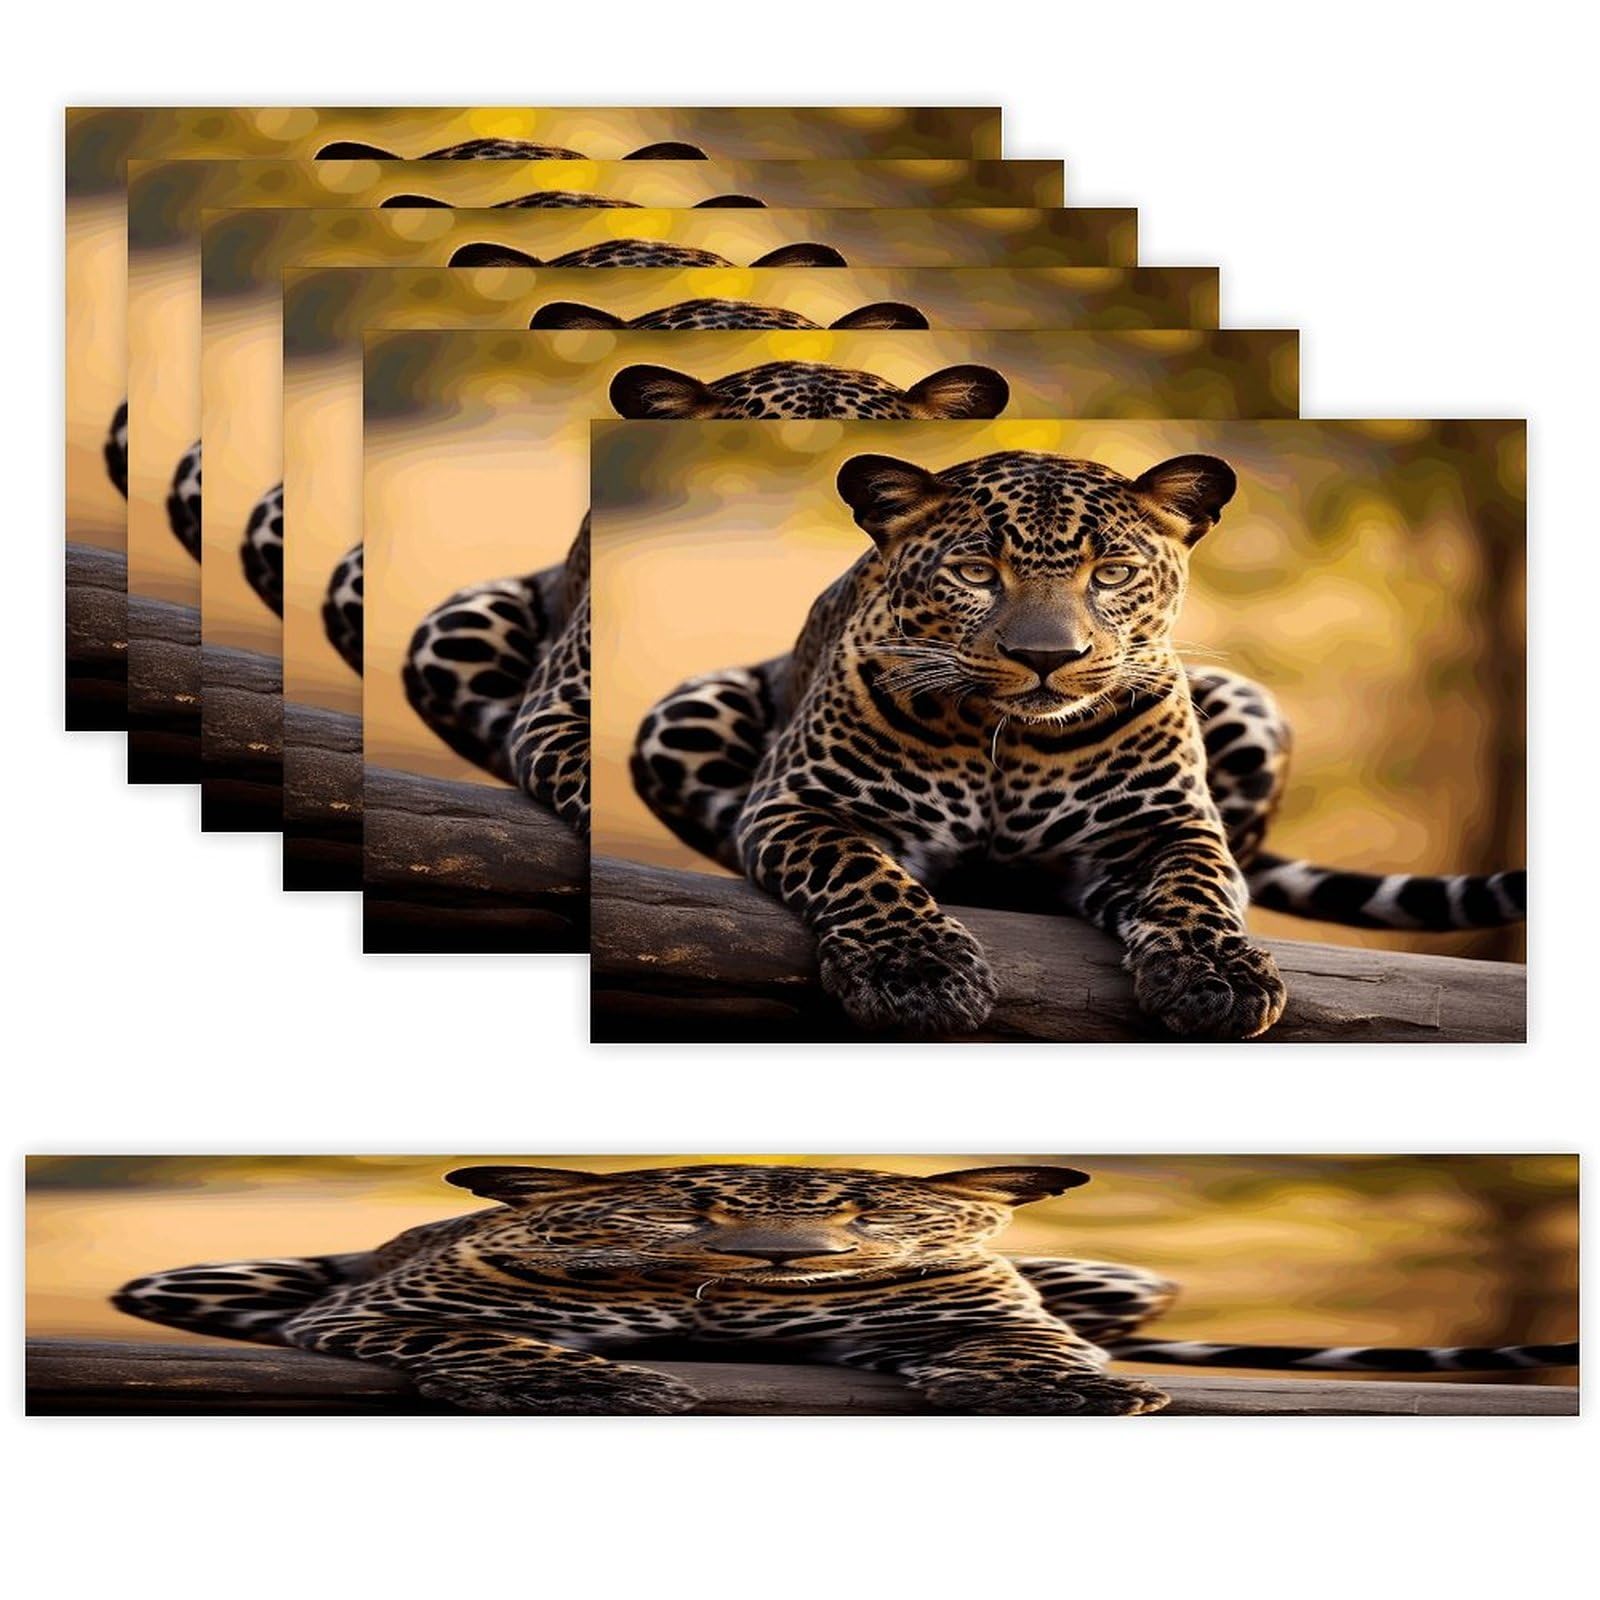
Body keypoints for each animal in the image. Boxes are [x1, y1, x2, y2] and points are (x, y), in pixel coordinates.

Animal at [631, 450, 1527, 1041]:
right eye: (975, 572)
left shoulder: (1161, 826)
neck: (1006, 741)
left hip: (1252, 705)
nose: (1046, 657)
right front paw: (917, 972)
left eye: (1113, 574)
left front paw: (1217, 975)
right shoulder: (799, 806)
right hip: (679, 714)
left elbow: (1198, 884)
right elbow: (861, 870)